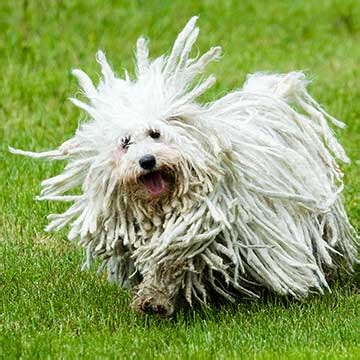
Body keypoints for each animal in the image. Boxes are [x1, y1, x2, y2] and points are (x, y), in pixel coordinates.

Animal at [11, 17, 358, 316]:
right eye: (125, 142)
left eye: (155, 133)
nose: (147, 161)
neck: (160, 208)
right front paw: (154, 299)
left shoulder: (196, 224)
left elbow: (171, 258)